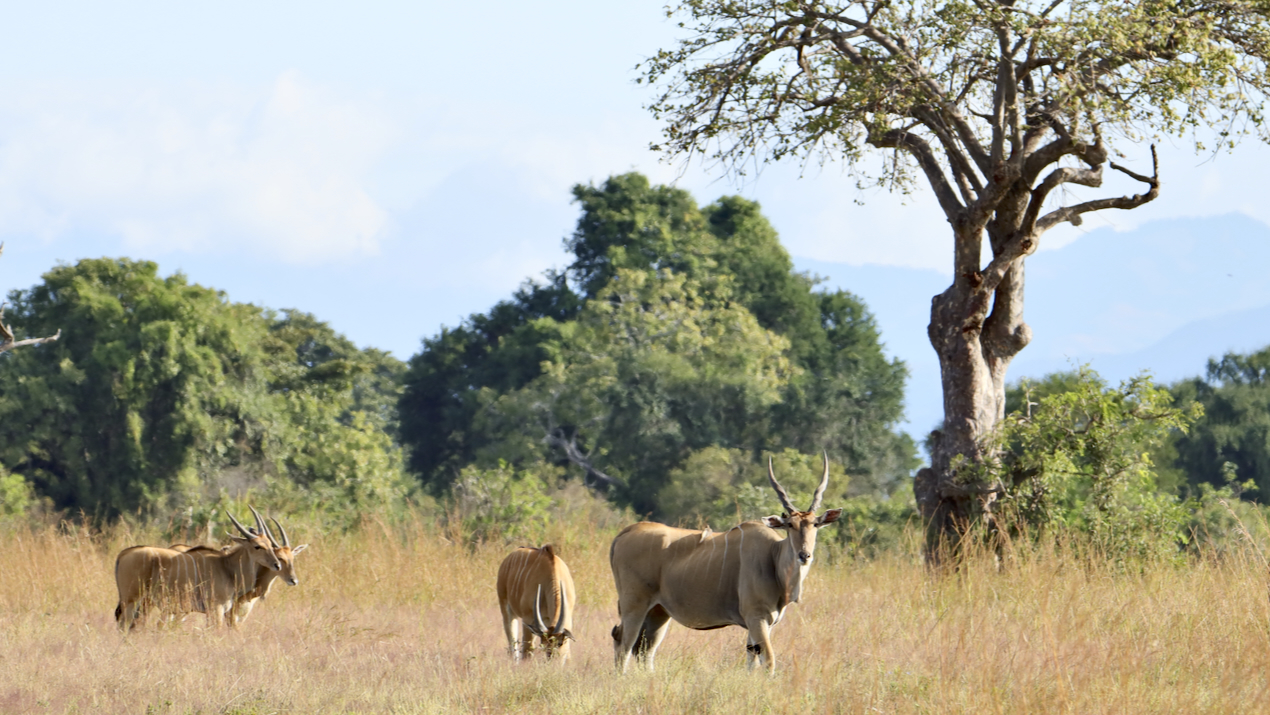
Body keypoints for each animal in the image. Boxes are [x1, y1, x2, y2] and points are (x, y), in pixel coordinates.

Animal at [115, 505, 281, 629]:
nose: (277, 565)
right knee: (125, 624)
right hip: (131, 600)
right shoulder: (216, 609)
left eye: (269, 543)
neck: (227, 567)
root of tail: (124, 553)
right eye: (257, 546)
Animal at [607, 457, 838, 675]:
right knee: (624, 643)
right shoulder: (757, 617)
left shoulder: (761, 624)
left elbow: (752, 661)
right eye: (790, 524)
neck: (773, 557)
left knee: (645, 649)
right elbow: (769, 662)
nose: (804, 555)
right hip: (634, 605)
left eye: (815, 524)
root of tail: (625, 532)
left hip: (658, 611)